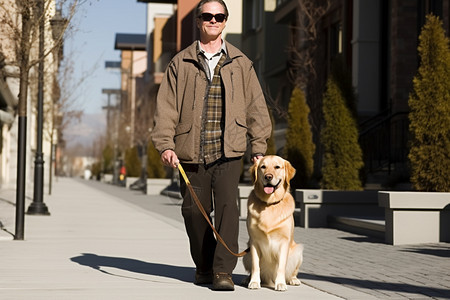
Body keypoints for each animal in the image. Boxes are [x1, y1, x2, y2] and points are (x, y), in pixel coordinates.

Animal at [243, 156, 302, 292]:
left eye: (277, 167)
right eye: (263, 167)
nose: (268, 176)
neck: (269, 204)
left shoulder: (284, 242)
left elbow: (281, 267)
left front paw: (280, 284)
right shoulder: (254, 242)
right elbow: (255, 266)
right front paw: (254, 282)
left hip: (298, 251)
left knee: (292, 272)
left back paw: (293, 280)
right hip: (245, 255)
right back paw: (248, 279)